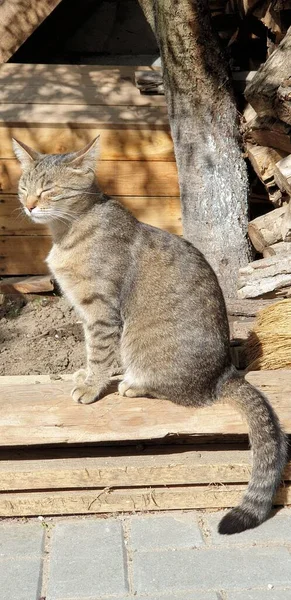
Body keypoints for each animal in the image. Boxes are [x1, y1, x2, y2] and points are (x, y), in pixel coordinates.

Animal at [13, 138, 288, 536]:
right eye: (23, 187)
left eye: (49, 189)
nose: (29, 204)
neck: (67, 232)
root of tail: (224, 374)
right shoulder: (87, 312)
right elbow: (90, 351)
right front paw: (85, 374)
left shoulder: (101, 310)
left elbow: (99, 353)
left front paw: (91, 386)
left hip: (147, 353)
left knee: (176, 391)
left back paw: (132, 385)